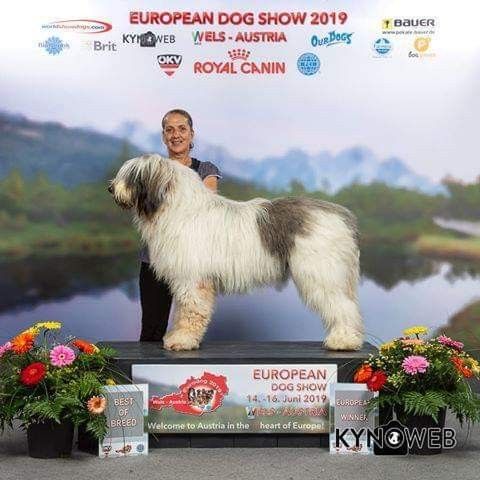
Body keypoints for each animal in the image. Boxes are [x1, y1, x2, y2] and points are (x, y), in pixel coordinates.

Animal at [109, 154, 364, 351]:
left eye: (132, 174)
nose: (110, 188)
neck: (177, 209)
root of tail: (341, 216)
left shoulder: (193, 278)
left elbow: (192, 311)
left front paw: (182, 340)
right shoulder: (184, 279)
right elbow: (183, 311)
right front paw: (177, 336)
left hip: (322, 273)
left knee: (342, 306)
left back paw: (343, 340)